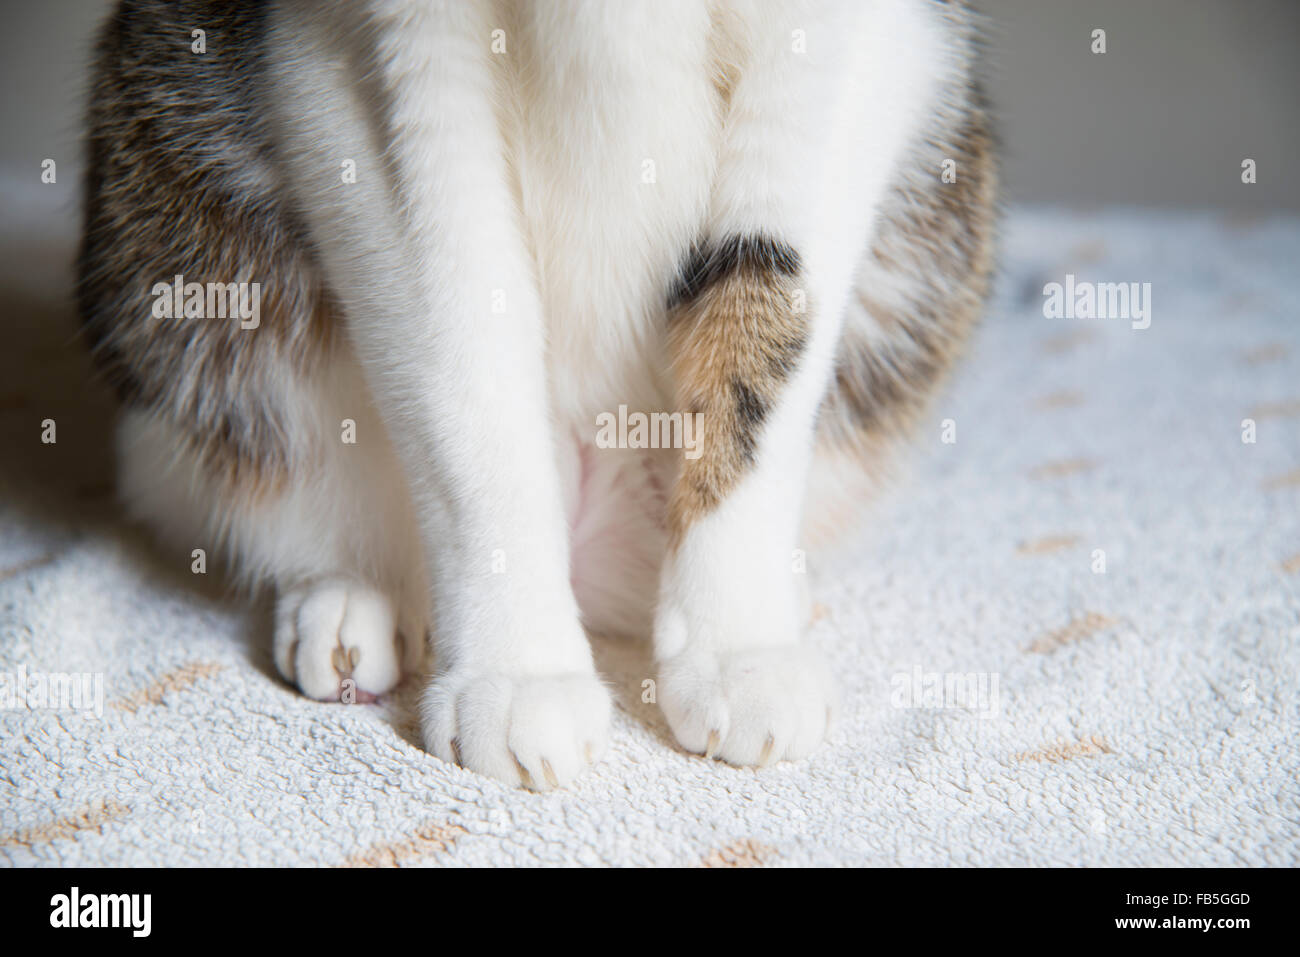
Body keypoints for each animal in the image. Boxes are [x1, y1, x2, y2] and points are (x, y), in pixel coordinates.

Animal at [78, 0, 993, 790]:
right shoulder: (367, 48)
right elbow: (463, 358)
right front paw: (517, 666)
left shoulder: (856, 32)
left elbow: (771, 328)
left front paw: (743, 643)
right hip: (184, 265)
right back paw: (348, 592)